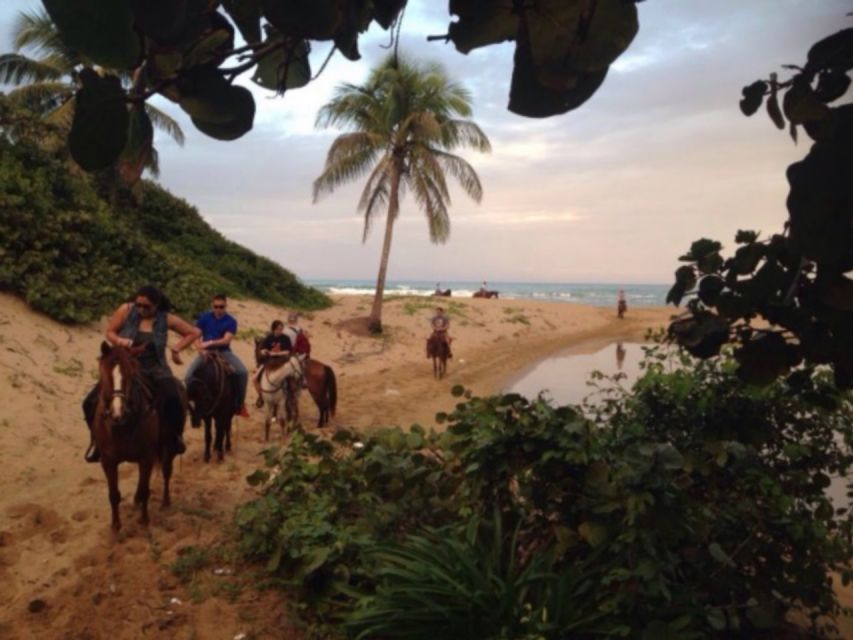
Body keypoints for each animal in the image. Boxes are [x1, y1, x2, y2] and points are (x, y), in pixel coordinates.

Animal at [92, 342, 176, 532]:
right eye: (105, 374)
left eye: (130, 374)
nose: (117, 413)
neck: (122, 426)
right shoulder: (108, 461)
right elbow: (114, 494)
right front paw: (115, 526)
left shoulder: (146, 457)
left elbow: (145, 490)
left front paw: (144, 520)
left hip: (166, 447)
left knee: (166, 471)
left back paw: (165, 501)